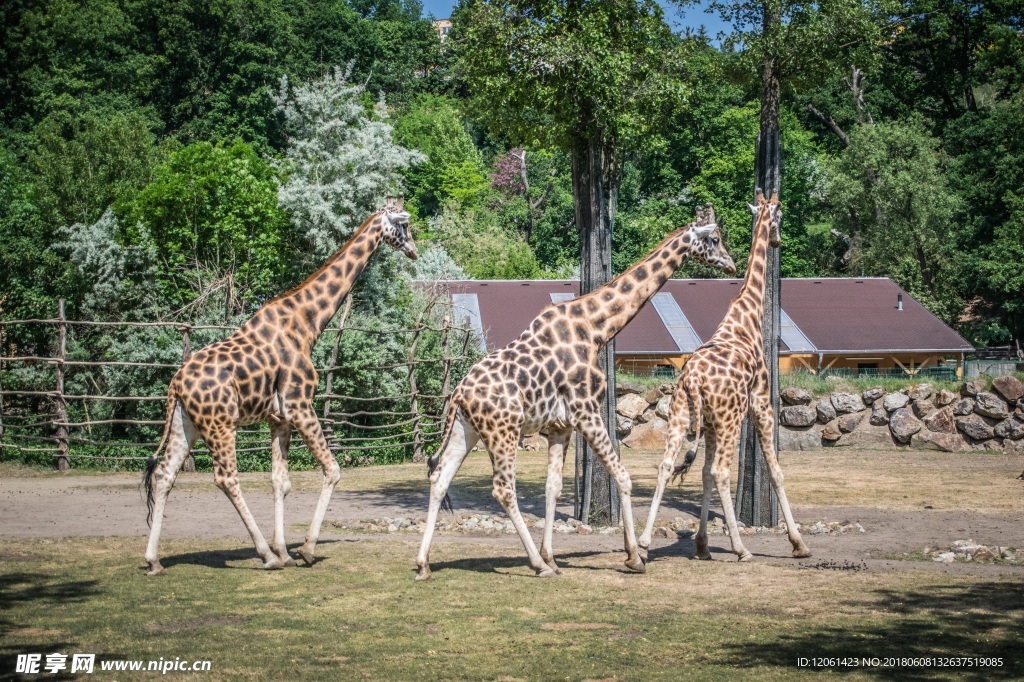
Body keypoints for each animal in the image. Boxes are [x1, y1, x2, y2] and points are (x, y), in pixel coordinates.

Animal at [142, 196, 417, 573]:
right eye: (404, 223)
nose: (414, 250)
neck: (307, 322)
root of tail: (176, 384)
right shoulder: (301, 405)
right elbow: (332, 470)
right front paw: (305, 550)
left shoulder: (279, 418)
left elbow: (280, 482)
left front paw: (286, 549)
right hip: (220, 424)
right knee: (226, 478)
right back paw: (265, 556)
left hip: (186, 424)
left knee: (165, 474)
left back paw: (154, 560)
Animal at [415, 204, 737, 577]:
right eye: (714, 238)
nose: (731, 264)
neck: (595, 329)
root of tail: (459, 393)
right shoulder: (587, 411)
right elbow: (623, 477)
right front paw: (634, 557)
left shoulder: (561, 426)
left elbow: (553, 489)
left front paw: (554, 555)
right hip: (503, 430)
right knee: (503, 489)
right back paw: (537, 565)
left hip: (466, 429)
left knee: (440, 478)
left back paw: (423, 564)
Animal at [638, 188, 806, 561]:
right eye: (780, 215)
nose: (778, 239)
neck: (746, 316)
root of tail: (693, 380)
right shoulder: (761, 403)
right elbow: (775, 470)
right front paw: (799, 543)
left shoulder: (712, 424)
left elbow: (701, 473)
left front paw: (701, 543)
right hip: (730, 419)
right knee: (722, 471)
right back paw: (742, 548)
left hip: (682, 415)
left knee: (667, 465)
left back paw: (642, 544)